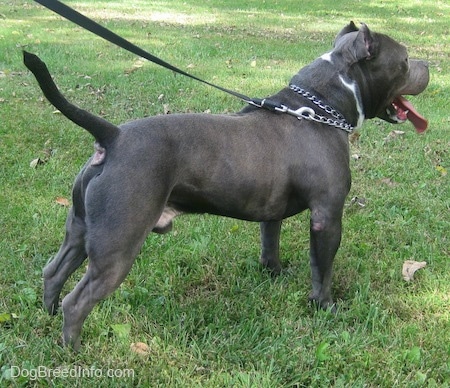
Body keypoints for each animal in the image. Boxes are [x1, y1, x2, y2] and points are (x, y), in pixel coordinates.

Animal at [23, 21, 428, 350]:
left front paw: (274, 274)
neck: (318, 109)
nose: (429, 66)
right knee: (77, 301)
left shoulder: (271, 212)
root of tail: (113, 136)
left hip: (79, 231)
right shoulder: (327, 217)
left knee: (53, 273)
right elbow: (322, 268)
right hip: (117, 246)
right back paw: (74, 351)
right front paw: (325, 307)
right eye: (406, 60)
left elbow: (270, 245)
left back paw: (46, 319)